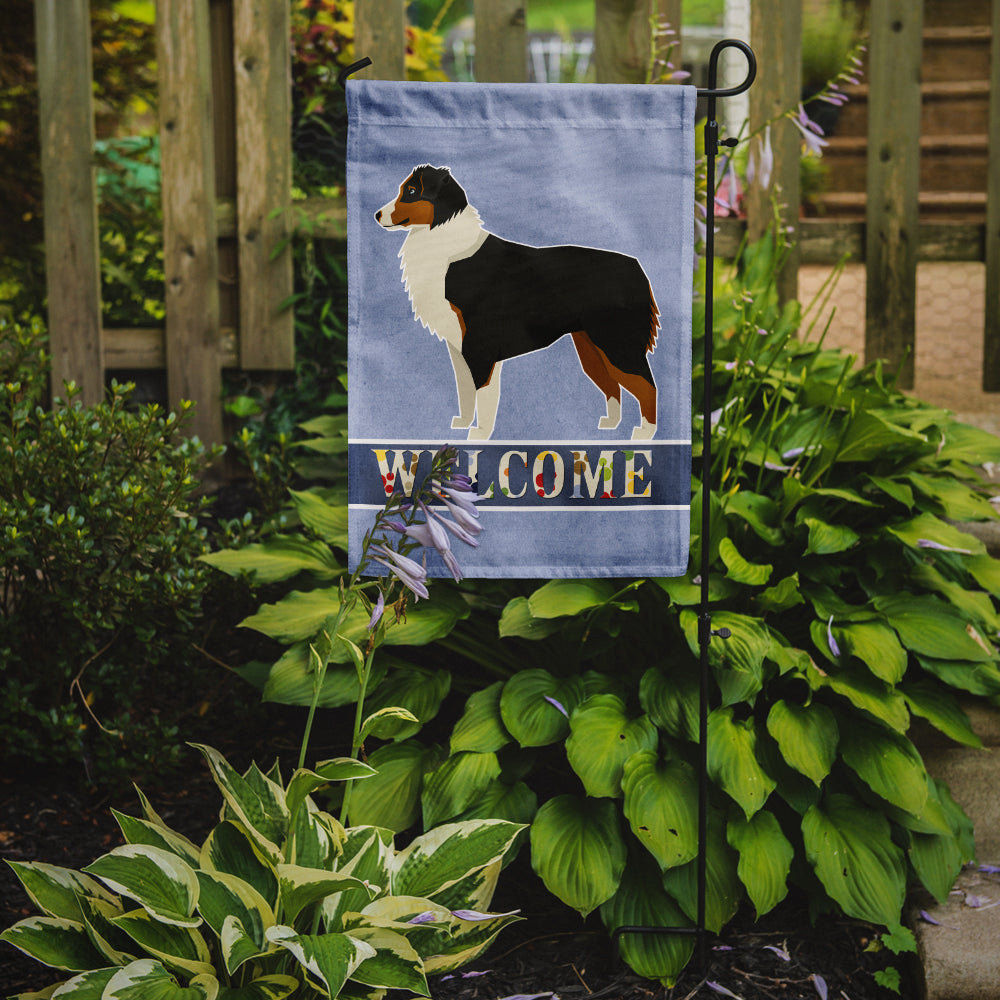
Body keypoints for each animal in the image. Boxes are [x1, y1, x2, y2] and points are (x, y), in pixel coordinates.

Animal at [378, 166, 660, 440]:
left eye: (411, 191)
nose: (377, 215)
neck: (447, 249)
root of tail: (636, 267)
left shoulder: (480, 345)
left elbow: (482, 392)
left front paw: (478, 435)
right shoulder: (458, 346)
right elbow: (465, 390)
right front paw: (463, 424)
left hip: (616, 343)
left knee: (647, 385)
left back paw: (644, 435)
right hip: (590, 345)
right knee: (613, 385)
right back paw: (611, 425)